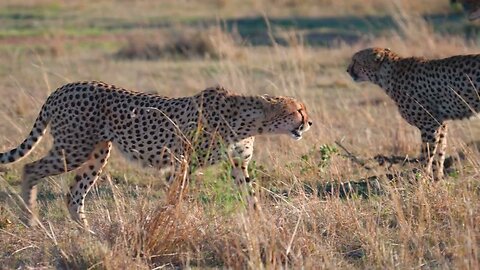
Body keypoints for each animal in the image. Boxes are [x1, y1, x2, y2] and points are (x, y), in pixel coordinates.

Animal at [0, 81, 314, 227]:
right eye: (299, 110)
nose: (310, 123)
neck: (249, 120)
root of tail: (62, 88)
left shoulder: (238, 165)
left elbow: (251, 197)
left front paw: (262, 223)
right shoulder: (181, 161)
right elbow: (175, 196)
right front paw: (169, 221)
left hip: (98, 153)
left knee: (74, 194)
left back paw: (89, 234)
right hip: (74, 149)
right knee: (30, 168)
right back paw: (30, 219)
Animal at [348, 47, 480, 180]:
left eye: (356, 61)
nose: (347, 70)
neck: (389, 74)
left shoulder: (429, 124)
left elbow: (427, 154)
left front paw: (422, 178)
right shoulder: (440, 123)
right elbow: (440, 152)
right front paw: (437, 178)